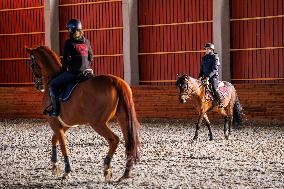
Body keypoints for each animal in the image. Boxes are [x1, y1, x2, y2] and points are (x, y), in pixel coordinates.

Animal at [26, 46, 141, 182]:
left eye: (32, 64)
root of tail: (115, 80)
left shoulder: (53, 122)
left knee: (114, 140)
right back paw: (126, 172)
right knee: (129, 142)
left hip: (97, 123)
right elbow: (54, 139)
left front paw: (67, 171)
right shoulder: (65, 124)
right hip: (123, 119)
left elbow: (62, 144)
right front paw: (54, 165)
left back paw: (107, 167)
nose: (38, 86)